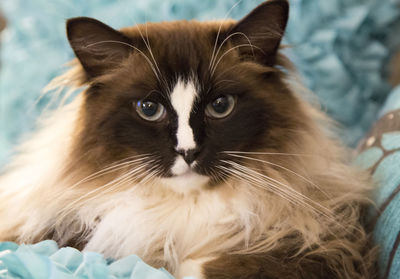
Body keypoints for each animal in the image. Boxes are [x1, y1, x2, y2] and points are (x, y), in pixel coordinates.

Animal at [0, 0, 376, 278]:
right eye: (149, 109)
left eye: (220, 106)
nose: (188, 151)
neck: (187, 209)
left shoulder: (325, 246)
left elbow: (209, 266)